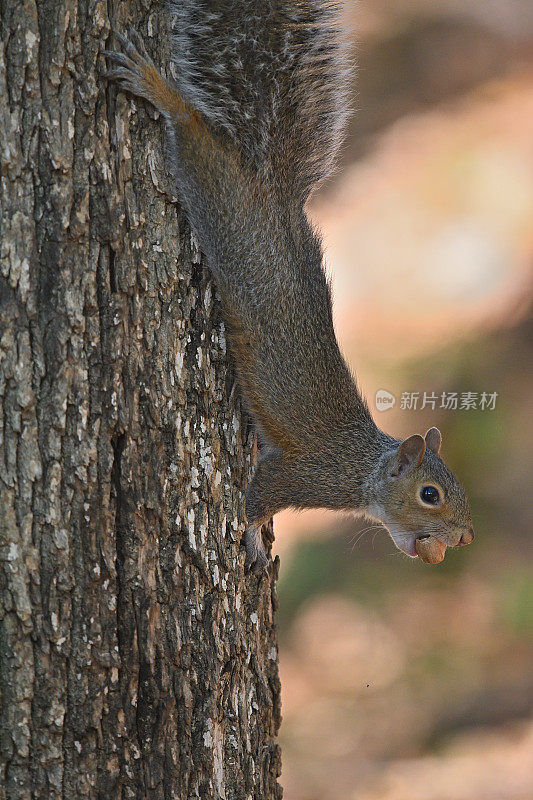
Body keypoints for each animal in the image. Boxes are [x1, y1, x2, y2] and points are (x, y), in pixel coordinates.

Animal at [104, 3, 474, 572]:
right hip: (221, 201)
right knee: (193, 132)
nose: (465, 536)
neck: (362, 471)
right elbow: (252, 503)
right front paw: (255, 543)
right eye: (429, 494)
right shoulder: (301, 474)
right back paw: (157, 88)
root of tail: (270, 190)